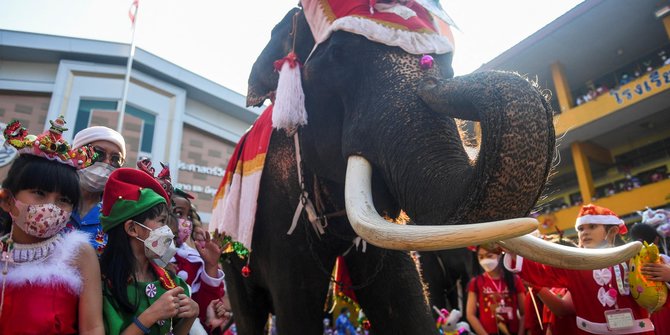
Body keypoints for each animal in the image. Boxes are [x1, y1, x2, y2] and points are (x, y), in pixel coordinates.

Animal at [218, 3, 644, 335]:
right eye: (338, 55)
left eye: (448, 65)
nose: (435, 83)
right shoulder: (277, 213)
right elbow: (296, 303)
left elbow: (402, 297)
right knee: (251, 311)